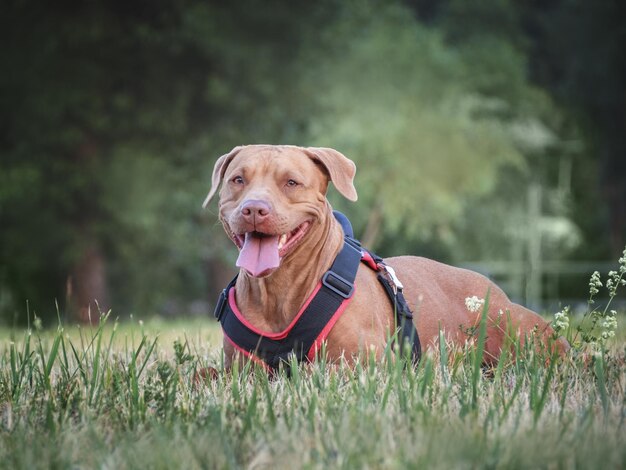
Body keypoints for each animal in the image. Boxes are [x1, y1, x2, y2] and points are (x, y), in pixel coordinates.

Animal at [204, 144, 560, 370]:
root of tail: (492, 289)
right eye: (238, 180)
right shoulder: (236, 370)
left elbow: (311, 372)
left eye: (291, 182)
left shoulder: (369, 364)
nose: (254, 208)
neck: (279, 289)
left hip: (520, 329)